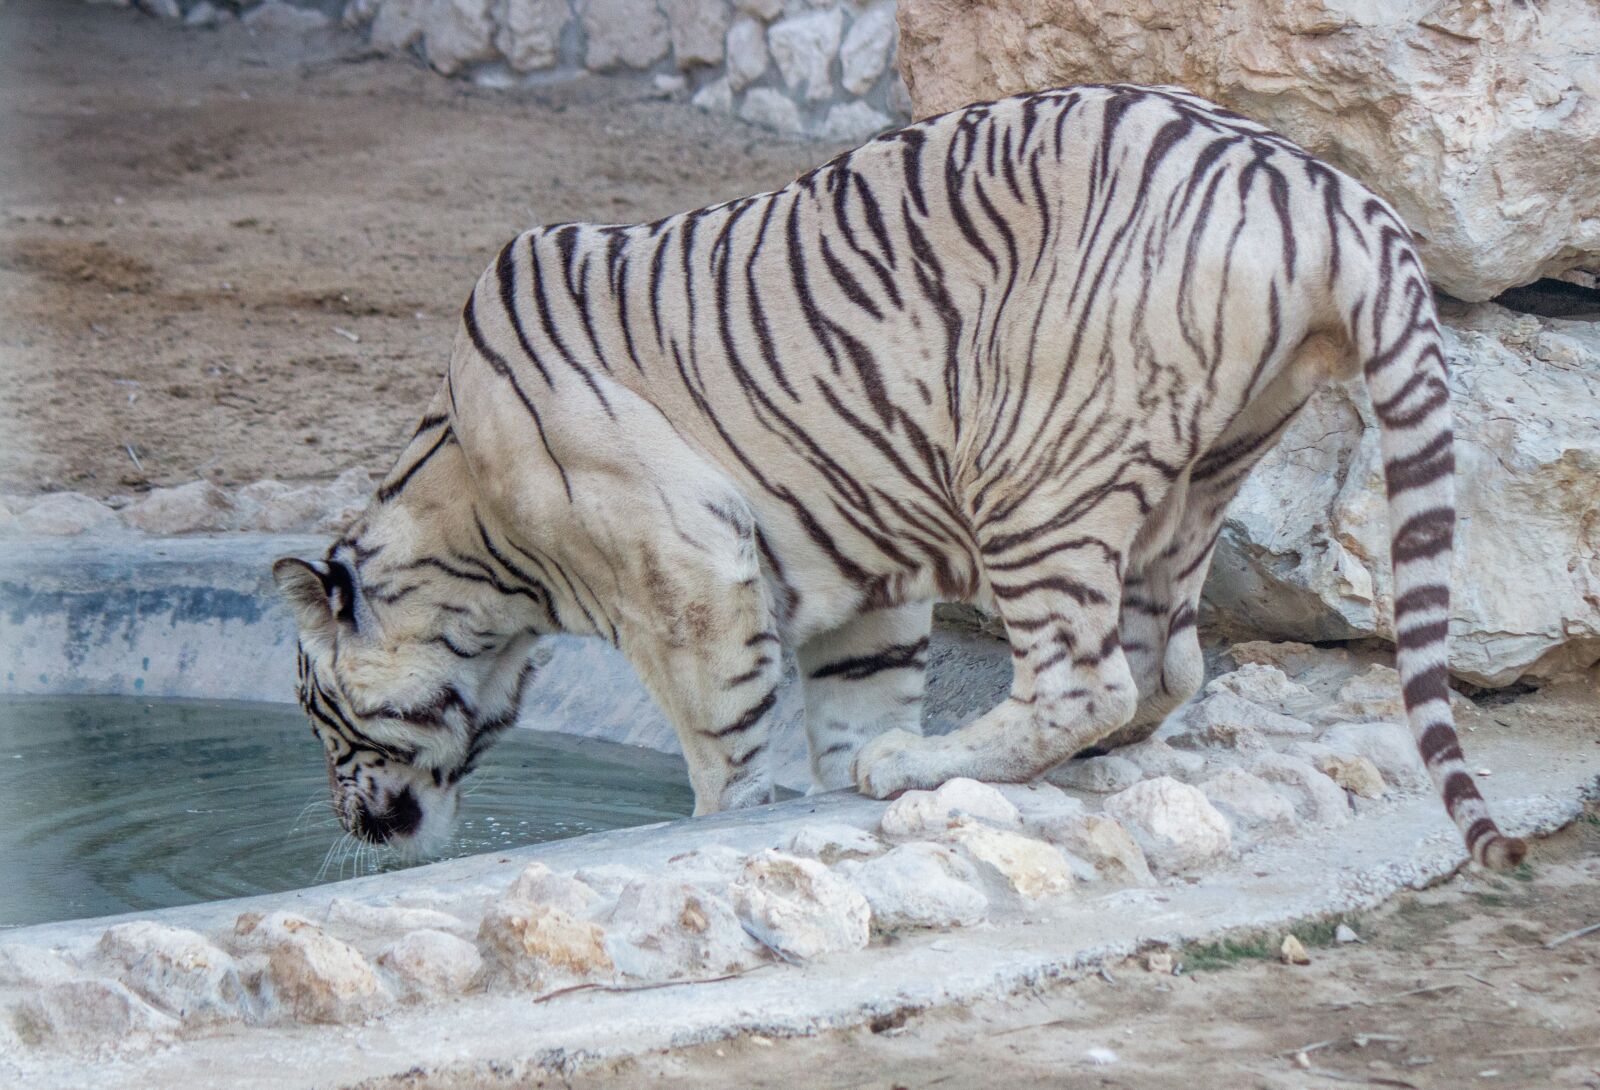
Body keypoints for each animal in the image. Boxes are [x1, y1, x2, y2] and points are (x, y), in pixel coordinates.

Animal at [273, 83, 1525, 869]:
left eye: (316, 710)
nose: (349, 819)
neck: (476, 543)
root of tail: (1312, 178)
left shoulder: (690, 570)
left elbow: (725, 747)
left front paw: (731, 815)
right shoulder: (851, 578)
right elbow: (841, 700)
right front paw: (821, 782)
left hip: (1029, 467)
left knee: (1083, 678)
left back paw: (914, 765)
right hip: (1196, 480)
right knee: (1158, 668)